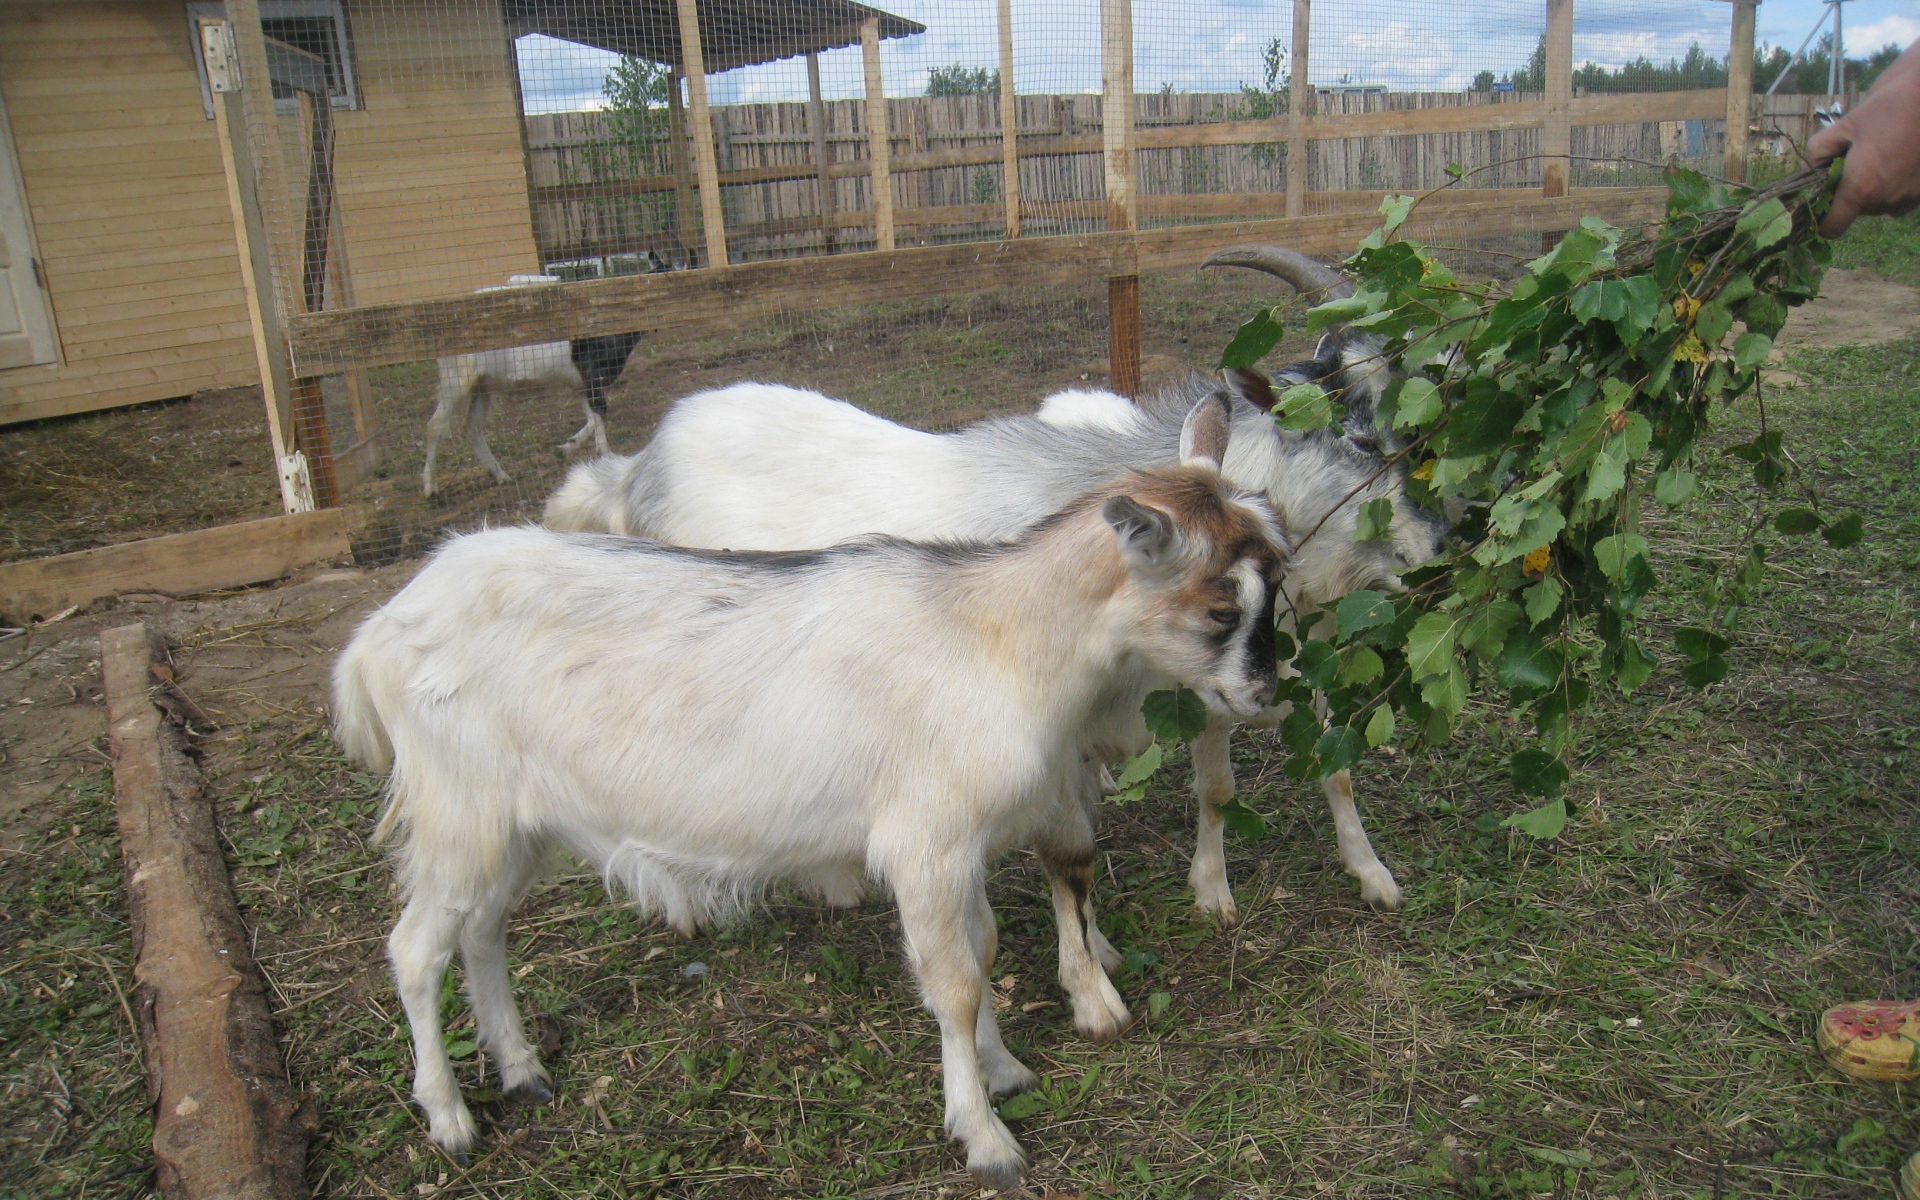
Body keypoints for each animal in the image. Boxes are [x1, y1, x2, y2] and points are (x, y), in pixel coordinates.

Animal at [334, 398, 1288, 1188]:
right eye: (1218, 609)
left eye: (1275, 583)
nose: (1266, 693)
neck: (995, 638)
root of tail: (376, 634)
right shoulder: (924, 843)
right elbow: (953, 980)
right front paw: (985, 1136)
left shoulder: (962, 843)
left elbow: (978, 951)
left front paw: (1005, 1070)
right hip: (458, 809)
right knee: (416, 948)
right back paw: (452, 1119)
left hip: (510, 823)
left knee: (482, 931)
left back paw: (526, 1072)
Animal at [421, 273, 649, 498]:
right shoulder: (592, 374)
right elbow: (600, 412)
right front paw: (565, 449)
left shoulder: (584, 384)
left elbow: (595, 416)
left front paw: (601, 456)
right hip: (457, 376)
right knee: (434, 425)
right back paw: (430, 488)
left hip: (484, 385)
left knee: (473, 427)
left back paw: (500, 475)